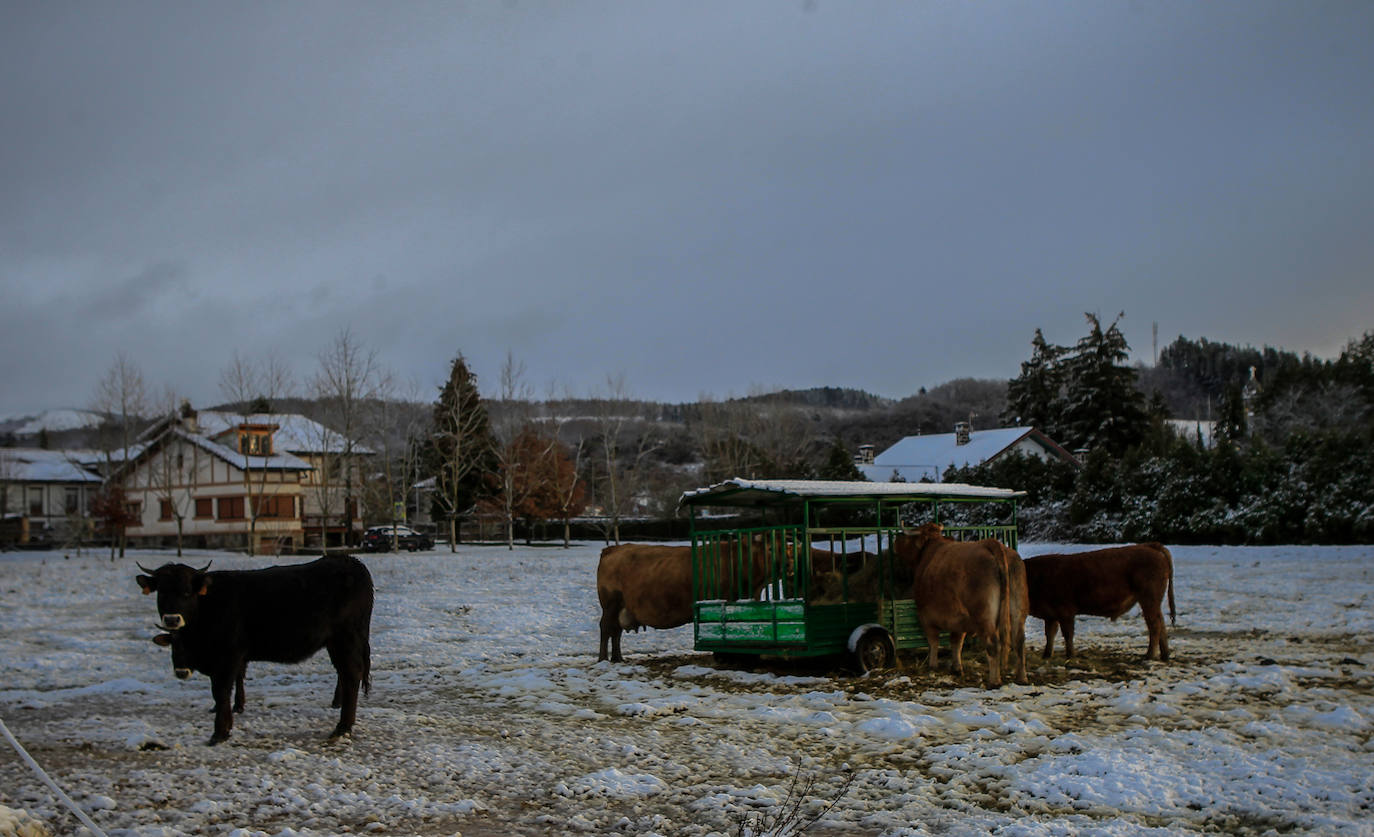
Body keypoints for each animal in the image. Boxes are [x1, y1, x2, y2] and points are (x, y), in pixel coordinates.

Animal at [137, 555, 373, 742]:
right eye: (161, 593)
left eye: (187, 592)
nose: (172, 619)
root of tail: (351, 562)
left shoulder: (228, 656)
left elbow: (221, 691)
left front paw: (220, 732)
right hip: (336, 643)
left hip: (346, 638)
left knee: (352, 674)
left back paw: (342, 727)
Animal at [596, 536, 791, 659]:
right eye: (770, 548)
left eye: (787, 547)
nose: (789, 565)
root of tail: (614, 548)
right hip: (610, 604)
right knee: (607, 629)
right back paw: (604, 659)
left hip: (621, 607)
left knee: (616, 631)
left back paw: (618, 658)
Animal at [890, 522, 1033, 684]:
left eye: (908, 537)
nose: (895, 541)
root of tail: (992, 544)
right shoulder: (959, 619)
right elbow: (956, 642)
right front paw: (957, 667)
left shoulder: (925, 616)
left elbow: (934, 641)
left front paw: (932, 665)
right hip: (1018, 609)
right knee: (1019, 641)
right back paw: (1021, 677)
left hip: (984, 615)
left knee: (993, 644)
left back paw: (994, 680)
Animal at [1027, 541, 1176, 659]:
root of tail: (1149, 546)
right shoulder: (1050, 615)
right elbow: (1049, 634)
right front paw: (1046, 655)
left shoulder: (1066, 612)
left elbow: (1067, 634)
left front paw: (1070, 655)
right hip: (1153, 601)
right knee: (1161, 623)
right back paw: (1165, 655)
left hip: (1149, 598)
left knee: (1155, 625)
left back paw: (1149, 656)